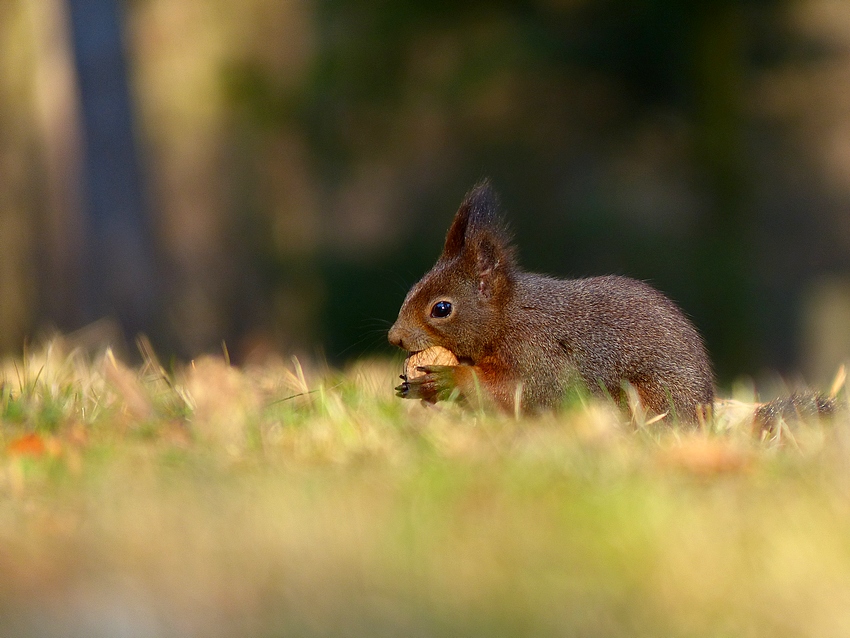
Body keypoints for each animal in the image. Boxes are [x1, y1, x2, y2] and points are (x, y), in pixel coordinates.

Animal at [388, 180, 715, 423]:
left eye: (441, 308)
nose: (395, 337)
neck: (506, 317)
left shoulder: (537, 351)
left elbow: (517, 390)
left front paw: (450, 378)